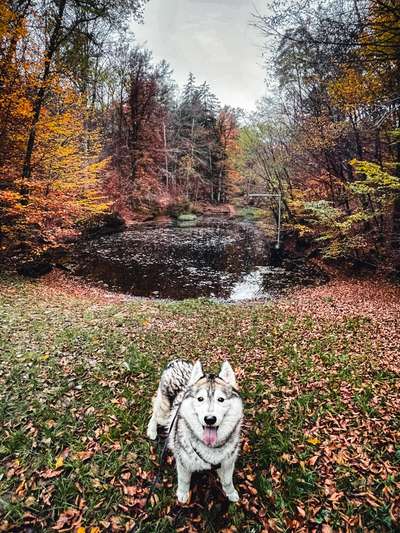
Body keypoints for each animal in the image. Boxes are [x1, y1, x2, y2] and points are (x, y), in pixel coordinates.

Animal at [146, 358, 242, 502]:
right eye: (200, 399)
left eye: (220, 399)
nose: (209, 419)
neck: (210, 448)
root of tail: (176, 361)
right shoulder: (183, 463)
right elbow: (184, 480)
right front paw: (182, 494)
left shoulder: (227, 464)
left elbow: (227, 482)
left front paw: (231, 493)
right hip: (163, 413)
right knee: (154, 414)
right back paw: (152, 430)